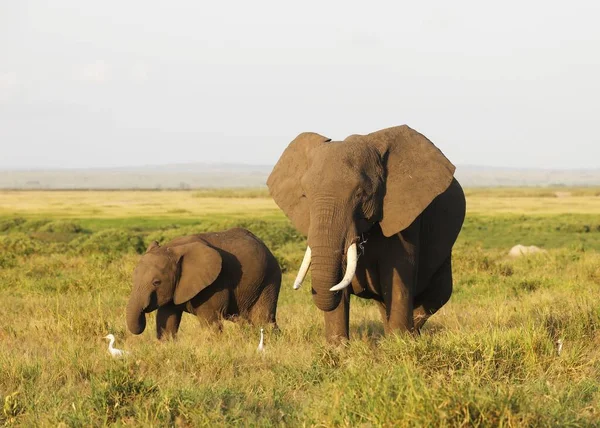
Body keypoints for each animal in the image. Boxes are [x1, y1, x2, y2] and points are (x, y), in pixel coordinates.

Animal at [126, 227, 282, 338]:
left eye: (156, 282)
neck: (172, 249)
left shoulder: (215, 283)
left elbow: (210, 322)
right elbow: (166, 321)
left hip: (269, 279)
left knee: (263, 320)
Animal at [268, 124, 468, 344]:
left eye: (360, 194)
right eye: (305, 195)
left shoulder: (406, 216)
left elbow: (399, 276)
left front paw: (398, 345)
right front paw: (337, 348)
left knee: (436, 296)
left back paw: (410, 335)